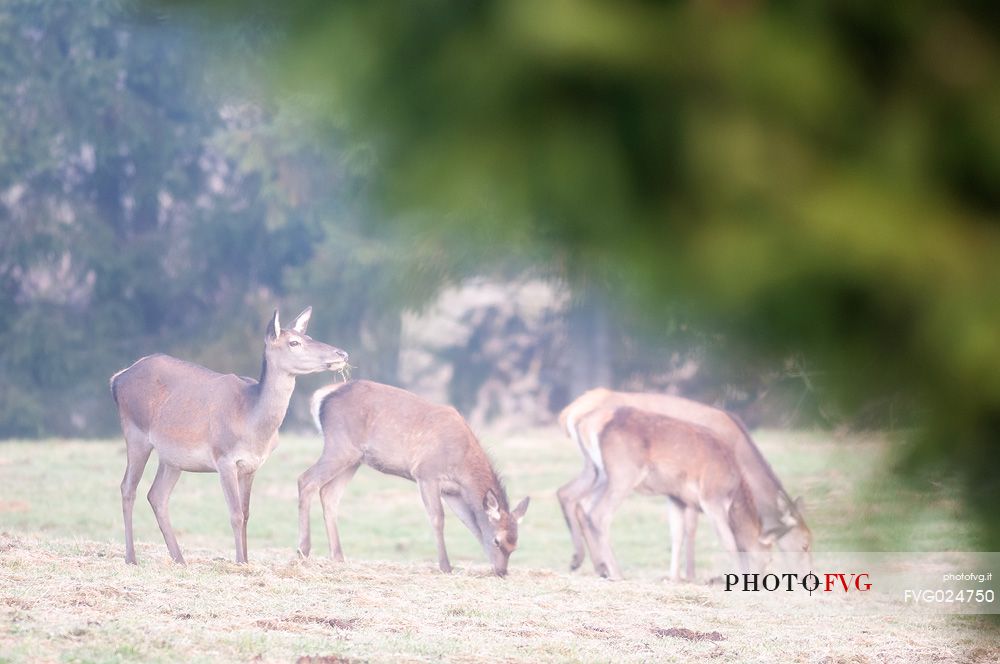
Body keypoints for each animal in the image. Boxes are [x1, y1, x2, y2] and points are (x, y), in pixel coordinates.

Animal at [110, 308, 348, 564]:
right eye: (294, 342)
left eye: (309, 335)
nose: (342, 353)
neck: (251, 422)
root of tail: (117, 378)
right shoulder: (224, 458)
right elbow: (234, 514)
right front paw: (240, 561)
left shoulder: (252, 465)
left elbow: (246, 513)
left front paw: (247, 560)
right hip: (135, 432)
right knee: (127, 488)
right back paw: (131, 558)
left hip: (172, 457)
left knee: (157, 495)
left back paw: (179, 559)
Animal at [300, 382, 532, 580]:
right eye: (497, 540)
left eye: (515, 545)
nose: (502, 572)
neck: (462, 464)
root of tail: (322, 394)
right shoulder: (426, 473)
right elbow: (438, 518)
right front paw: (445, 566)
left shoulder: (453, 492)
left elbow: (471, 523)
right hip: (340, 445)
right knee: (306, 480)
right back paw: (303, 550)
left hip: (354, 458)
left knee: (328, 494)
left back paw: (338, 557)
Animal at [560, 386, 808, 580]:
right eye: (805, 544)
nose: (808, 576)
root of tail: (572, 414)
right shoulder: (709, 497)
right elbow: (724, 539)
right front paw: (694, 576)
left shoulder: (679, 496)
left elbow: (679, 533)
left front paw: (676, 577)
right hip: (623, 473)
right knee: (597, 513)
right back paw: (613, 571)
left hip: (596, 470)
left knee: (573, 497)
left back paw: (591, 564)